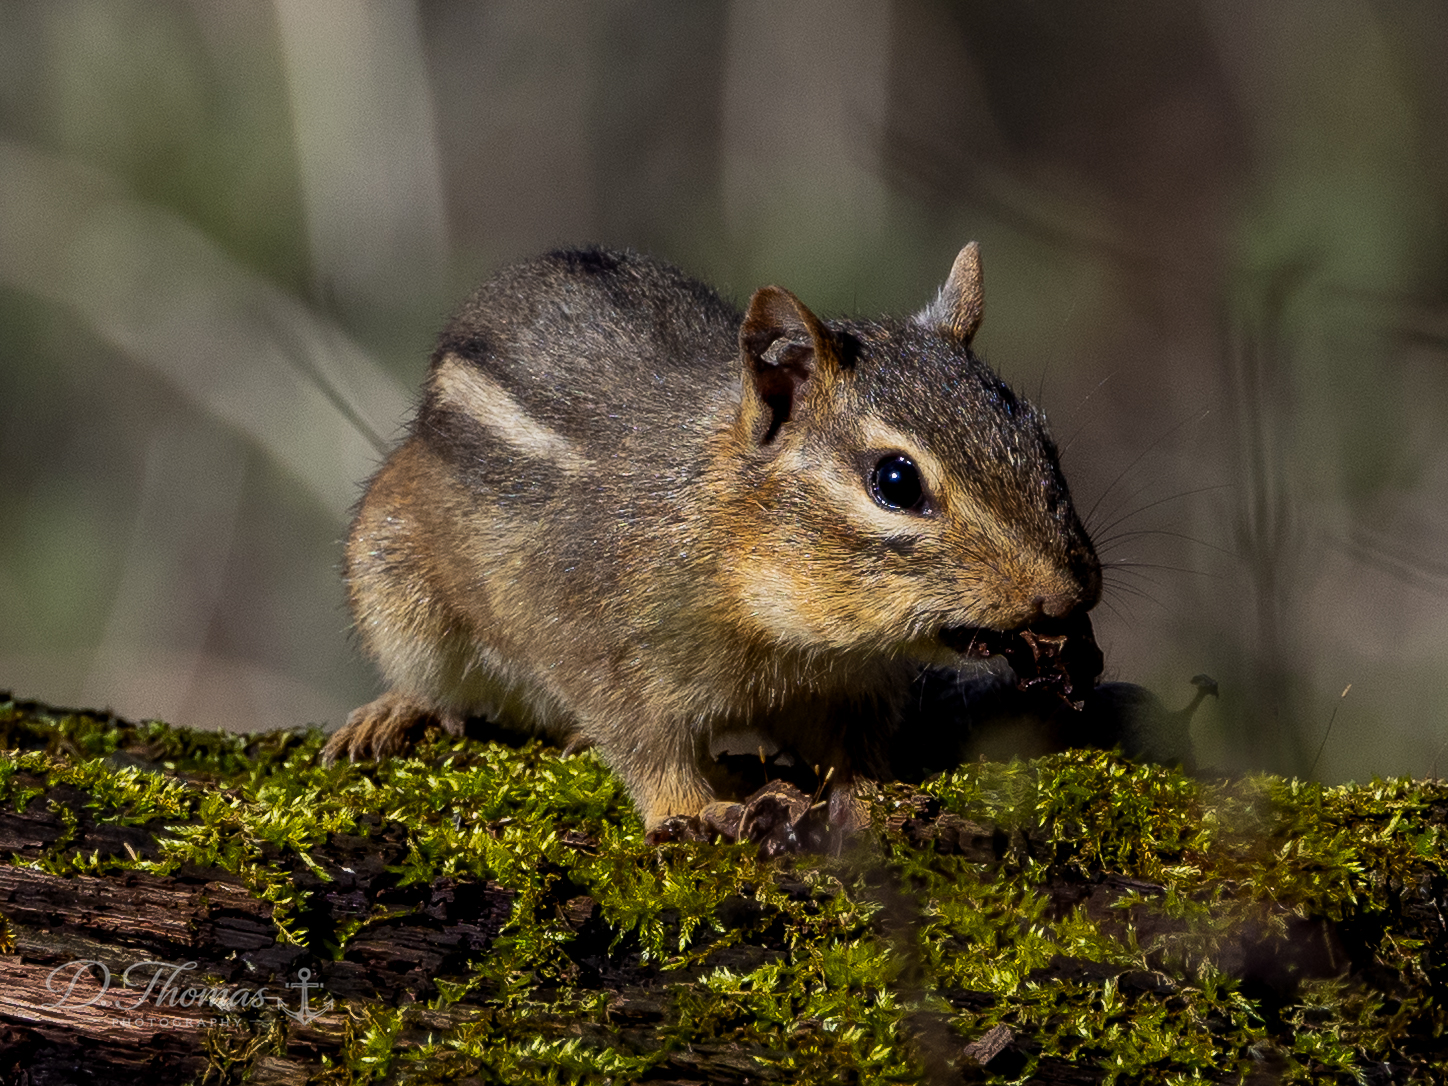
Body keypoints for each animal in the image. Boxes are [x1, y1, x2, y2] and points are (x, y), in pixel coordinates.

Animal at [321, 244, 1103, 837]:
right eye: (896, 481)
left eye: (1044, 438)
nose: (1068, 593)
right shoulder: (602, 647)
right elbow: (646, 747)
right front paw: (697, 810)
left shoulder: (853, 681)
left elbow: (853, 745)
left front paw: (874, 796)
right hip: (390, 572)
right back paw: (393, 713)